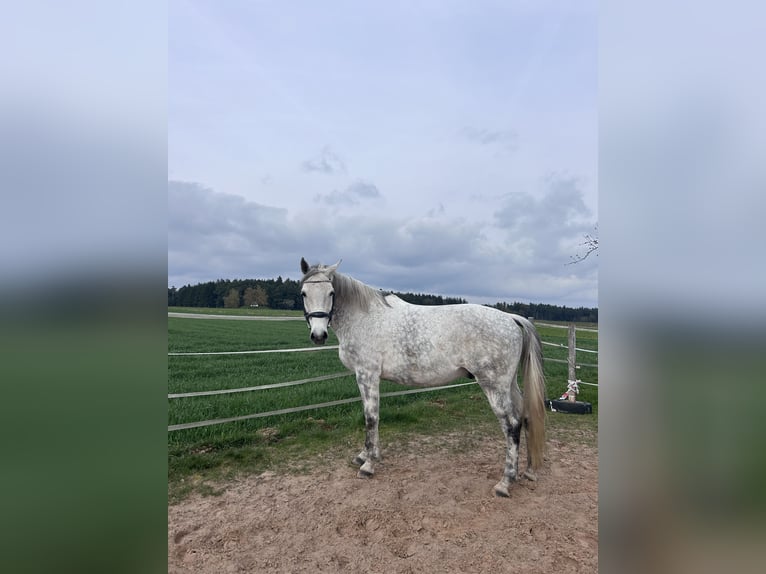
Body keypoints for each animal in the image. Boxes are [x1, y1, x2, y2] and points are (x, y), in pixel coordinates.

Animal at [299, 257, 546, 497]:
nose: (318, 335)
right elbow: (372, 417)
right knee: (524, 417)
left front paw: (368, 465)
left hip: (494, 386)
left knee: (511, 425)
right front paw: (366, 455)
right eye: (304, 293)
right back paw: (528, 471)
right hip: (509, 385)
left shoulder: (367, 375)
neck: (364, 317)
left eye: (331, 293)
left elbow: (371, 418)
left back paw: (505, 482)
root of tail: (510, 318)